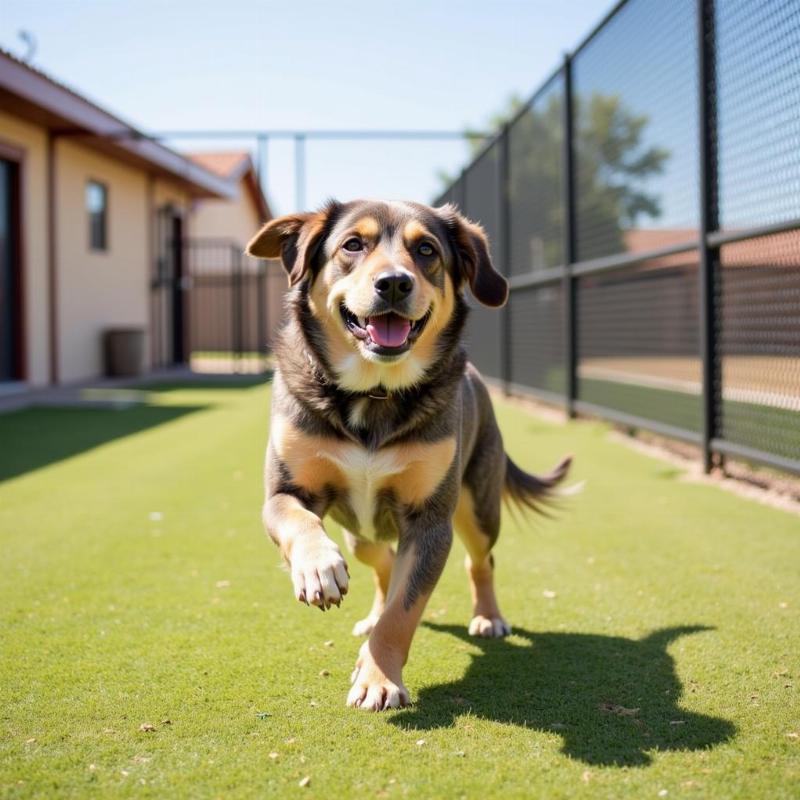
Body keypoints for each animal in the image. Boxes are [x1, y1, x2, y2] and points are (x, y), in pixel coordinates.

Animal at [245, 200, 568, 712]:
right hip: (359, 530)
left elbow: (403, 610)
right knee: (378, 556)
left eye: (427, 250)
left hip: (478, 508)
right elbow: (302, 523)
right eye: (352, 244)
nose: (394, 283)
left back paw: (488, 617)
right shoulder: (284, 493)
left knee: (481, 562)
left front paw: (378, 679)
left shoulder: (430, 522)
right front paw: (318, 568)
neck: (374, 394)